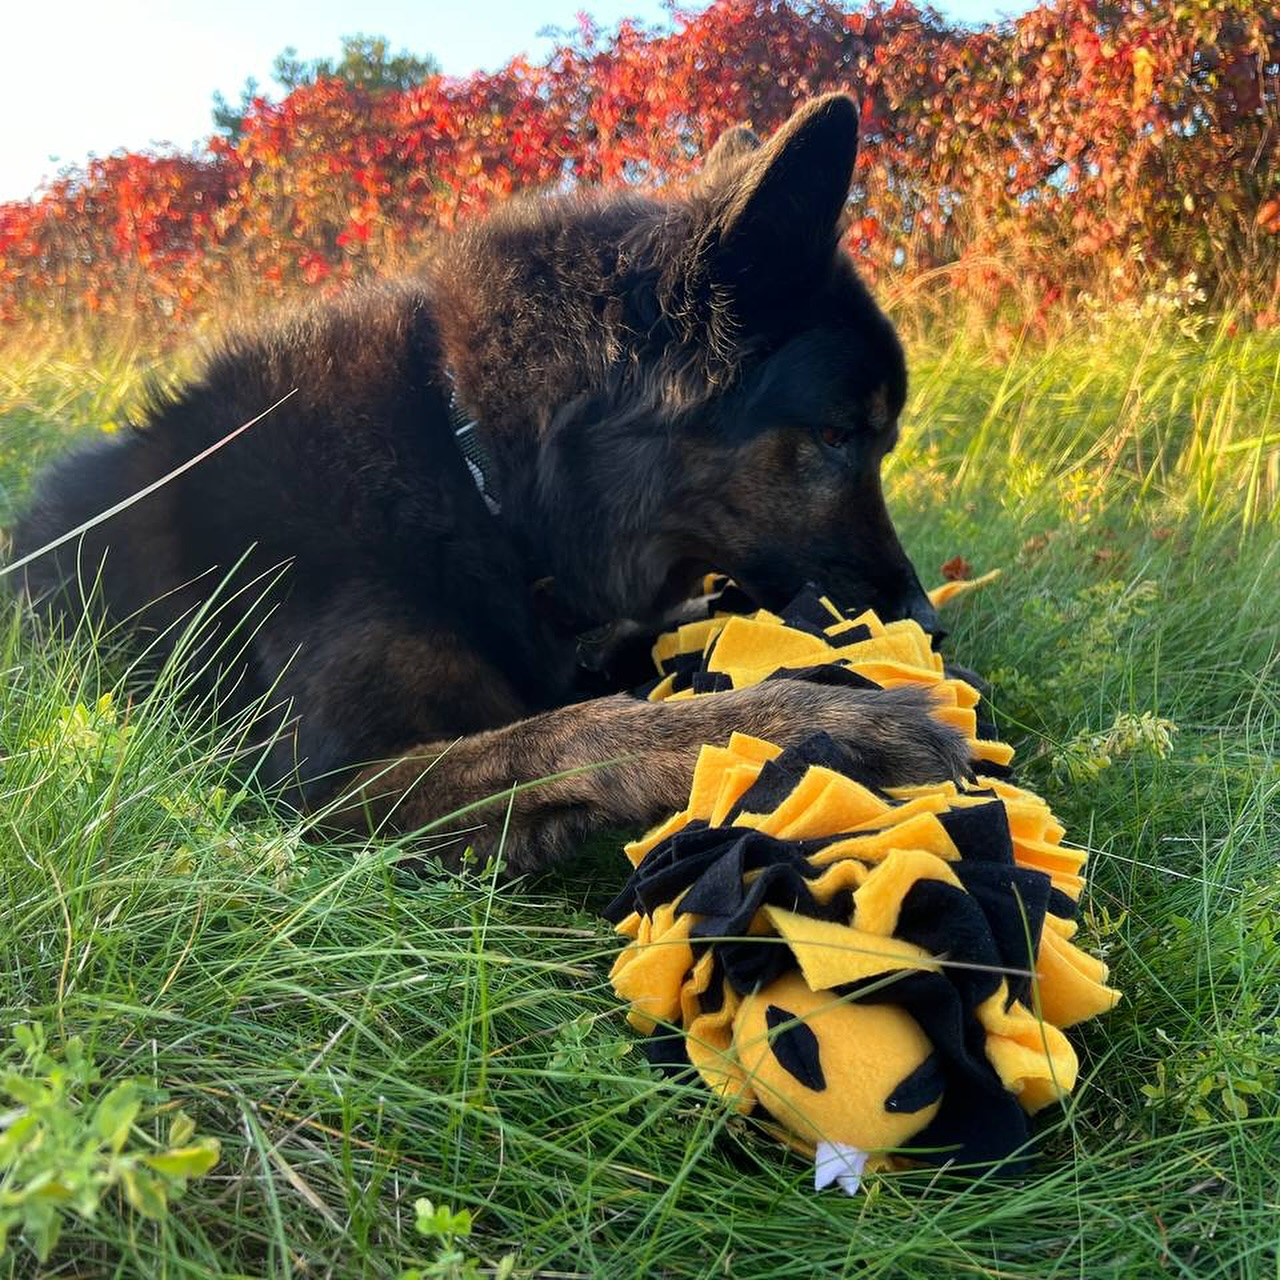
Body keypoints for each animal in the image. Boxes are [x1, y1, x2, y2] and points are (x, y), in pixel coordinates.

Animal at [11, 94, 966, 875]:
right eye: (838, 436)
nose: (928, 625)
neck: (477, 472)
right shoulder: (322, 792)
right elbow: (571, 731)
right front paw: (824, 729)